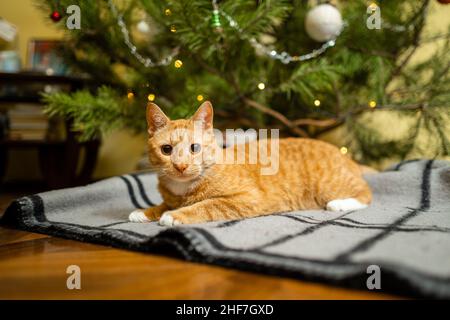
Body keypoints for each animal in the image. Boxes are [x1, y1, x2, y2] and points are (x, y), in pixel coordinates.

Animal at [128, 101, 370, 226]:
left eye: (194, 148)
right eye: (167, 150)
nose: (181, 166)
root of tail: (343, 154)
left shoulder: (247, 198)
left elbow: (208, 205)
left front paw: (175, 215)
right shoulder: (171, 198)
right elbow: (164, 204)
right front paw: (145, 211)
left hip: (329, 185)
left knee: (366, 194)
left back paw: (340, 204)